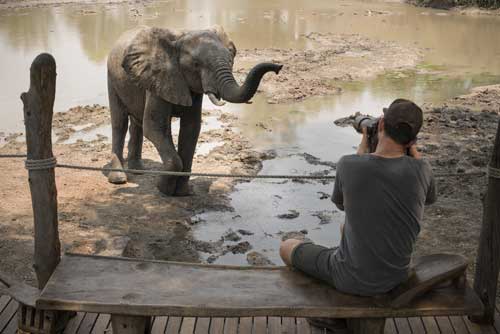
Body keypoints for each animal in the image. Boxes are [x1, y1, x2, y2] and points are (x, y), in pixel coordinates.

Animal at [106, 26, 284, 196]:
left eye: (230, 60)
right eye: (196, 64)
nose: (278, 67)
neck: (178, 39)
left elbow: (191, 129)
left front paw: (183, 193)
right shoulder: (159, 79)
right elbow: (155, 127)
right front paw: (163, 189)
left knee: (137, 123)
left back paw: (139, 171)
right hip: (112, 78)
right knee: (119, 123)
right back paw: (118, 179)